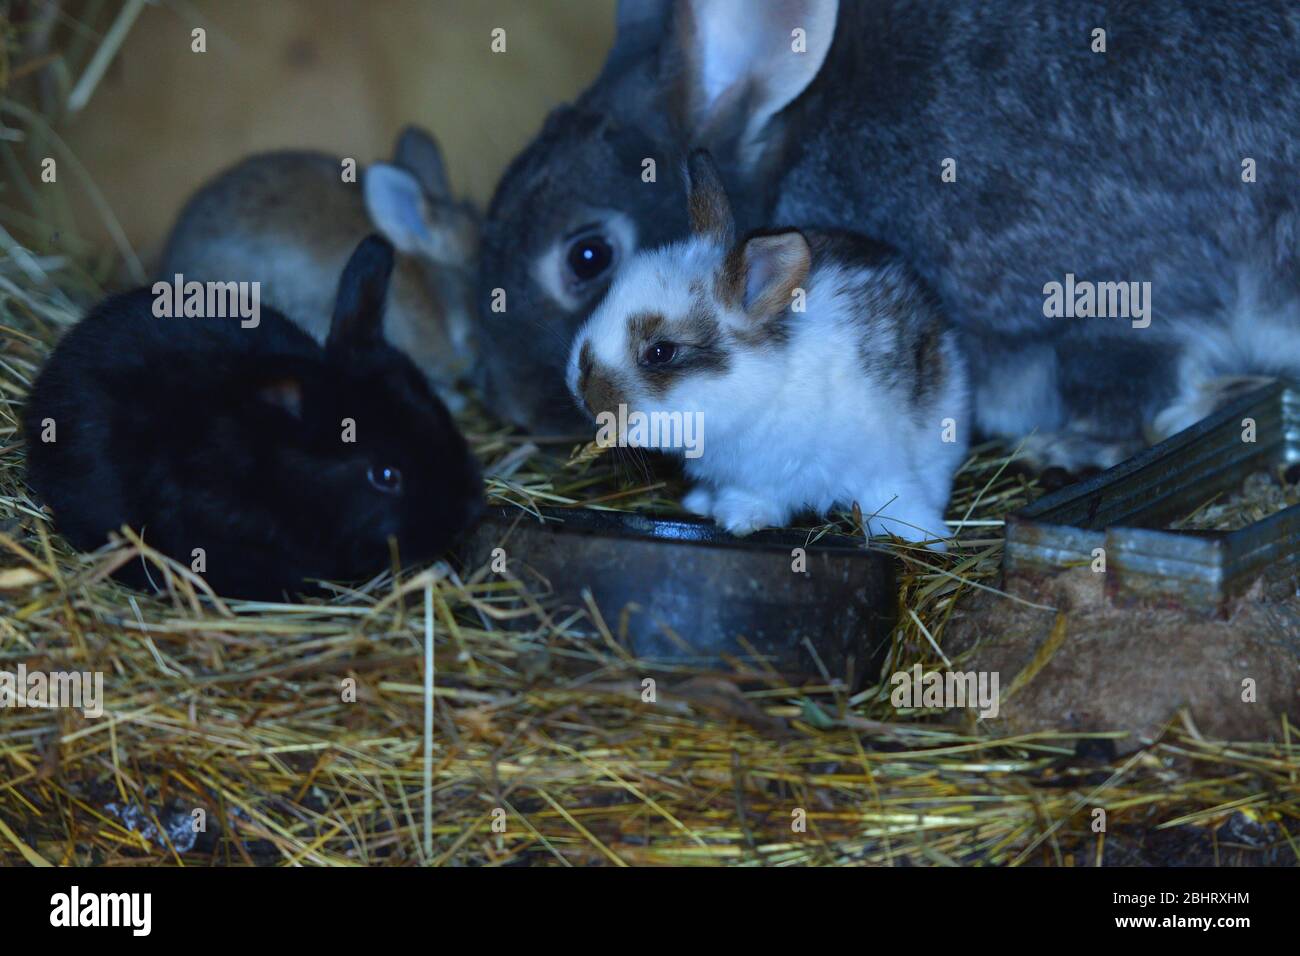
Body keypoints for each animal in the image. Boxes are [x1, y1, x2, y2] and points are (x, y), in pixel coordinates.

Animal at [566, 152, 967, 547]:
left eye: (661, 352)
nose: (583, 394)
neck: (768, 390)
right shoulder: (753, 480)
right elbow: (754, 498)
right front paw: (738, 518)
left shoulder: (879, 465)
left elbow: (893, 495)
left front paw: (922, 535)